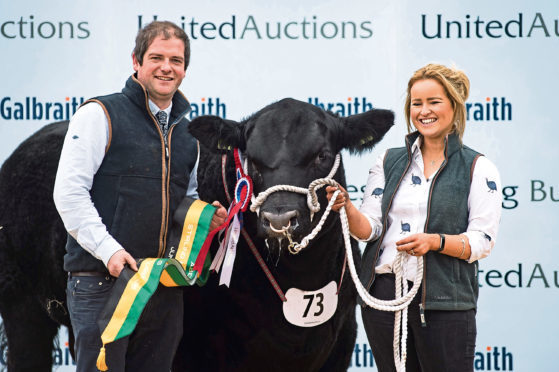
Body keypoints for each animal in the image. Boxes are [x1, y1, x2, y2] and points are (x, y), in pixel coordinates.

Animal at [0, 97, 394, 370]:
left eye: (322, 154)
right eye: (250, 158)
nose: (279, 217)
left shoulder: (340, 343)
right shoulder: (198, 351)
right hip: (22, 308)